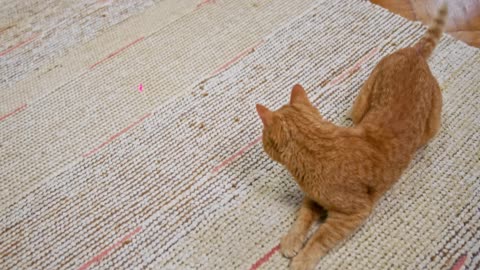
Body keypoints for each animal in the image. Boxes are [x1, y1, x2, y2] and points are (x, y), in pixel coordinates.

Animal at [255, 4, 446, 270]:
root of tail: (414, 54)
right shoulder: (312, 198)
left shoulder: (352, 214)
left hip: (428, 126)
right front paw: (292, 240)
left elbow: (320, 238)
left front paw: (302, 259)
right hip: (362, 102)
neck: (320, 148)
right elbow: (302, 218)